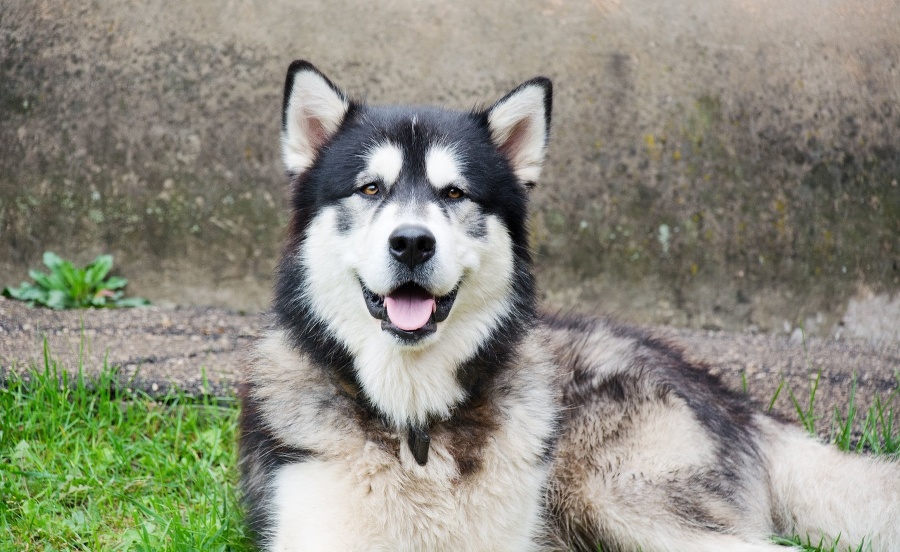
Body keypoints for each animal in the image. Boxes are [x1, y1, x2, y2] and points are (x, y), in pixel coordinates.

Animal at [236, 61, 896, 552]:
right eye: (370, 188)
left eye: (455, 193)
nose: (412, 243)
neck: (415, 420)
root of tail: (730, 397)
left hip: (623, 501)